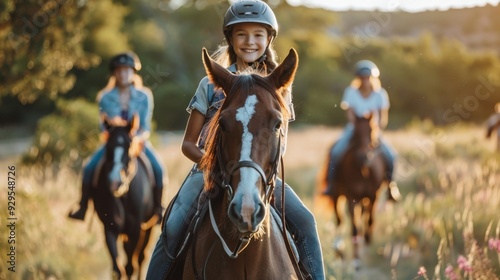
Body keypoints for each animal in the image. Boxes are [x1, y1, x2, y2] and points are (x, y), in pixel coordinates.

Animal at [92, 115, 157, 278]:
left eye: (129, 147)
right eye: (108, 148)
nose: (115, 182)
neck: (123, 197)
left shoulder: (135, 230)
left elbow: (130, 267)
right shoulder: (110, 228)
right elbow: (117, 269)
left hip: (148, 227)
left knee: (140, 259)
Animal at [320, 114, 386, 262]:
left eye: (372, 131)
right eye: (355, 133)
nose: (364, 157)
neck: (363, 171)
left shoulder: (373, 196)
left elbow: (369, 221)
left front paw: (366, 246)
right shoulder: (352, 197)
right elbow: (354, 228)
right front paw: (356, 260)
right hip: (337, 196)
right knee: (339, 220)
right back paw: (339, 250)